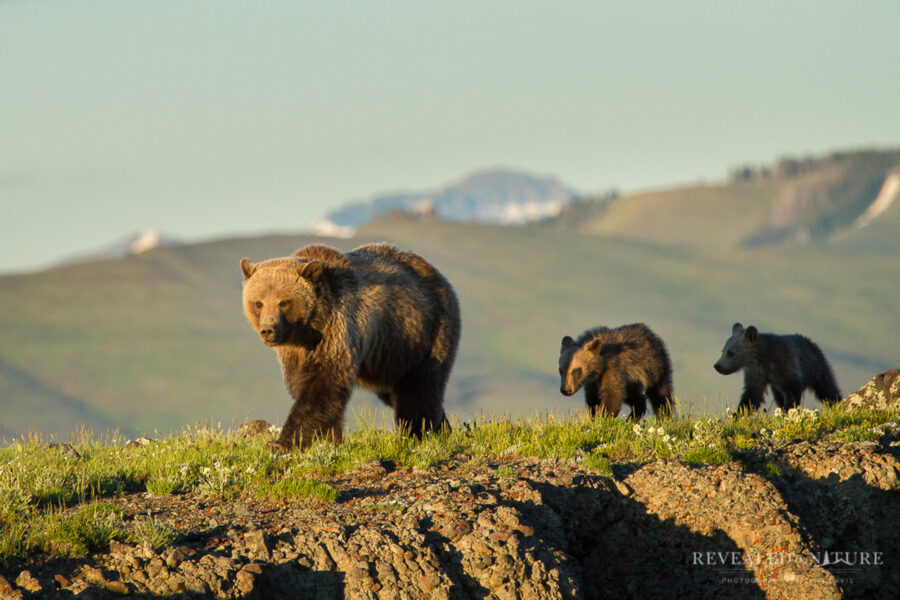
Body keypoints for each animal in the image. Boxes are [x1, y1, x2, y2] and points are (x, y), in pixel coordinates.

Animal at [240, 242, 461, 451]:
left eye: (284, 302)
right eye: (258, 303)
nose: (268, 330)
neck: (307, 330)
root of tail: (439, 275)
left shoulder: (336, 329)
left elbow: (324, 385)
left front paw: (282, 443)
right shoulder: (294, 352)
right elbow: (302, 384)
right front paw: (329, 438)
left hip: (425, 333)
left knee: (419, 389)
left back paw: (419, 433)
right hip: (390, 358)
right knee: (399, 392)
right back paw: (444, 429)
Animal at [713, 322, 841, 413]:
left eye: (731, 353)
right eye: (722, 351)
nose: (717, 366)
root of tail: (811, 342)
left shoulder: (787, 367)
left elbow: (792, 392)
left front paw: (790, 410)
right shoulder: (756, 373)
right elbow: (752, 395)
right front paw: (738, 414)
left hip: (817, 368)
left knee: (827, 389)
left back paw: (837, 403)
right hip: (777, 387)